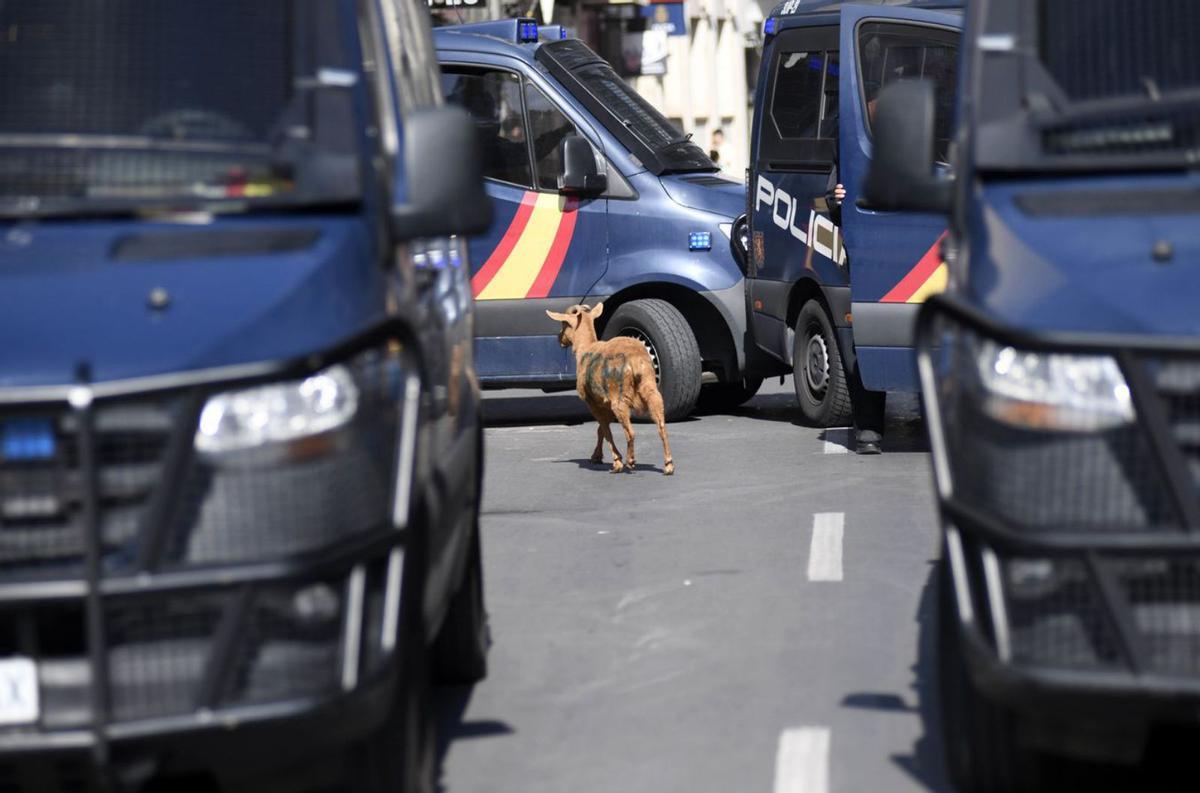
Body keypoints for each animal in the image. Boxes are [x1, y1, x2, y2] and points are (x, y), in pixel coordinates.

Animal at [547, 303, 676, 472]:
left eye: (564, 323)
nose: (559, 338)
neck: (586, 348)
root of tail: (635, 361)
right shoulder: (605, 403)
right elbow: (601, 429)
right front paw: (596, 456)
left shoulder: (593, 402)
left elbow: (605, 429)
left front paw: (616, 461)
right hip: (651, 389)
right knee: (661, 426)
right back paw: (668, 465)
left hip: (620, 398)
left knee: (630, 432)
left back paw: (630, 461)